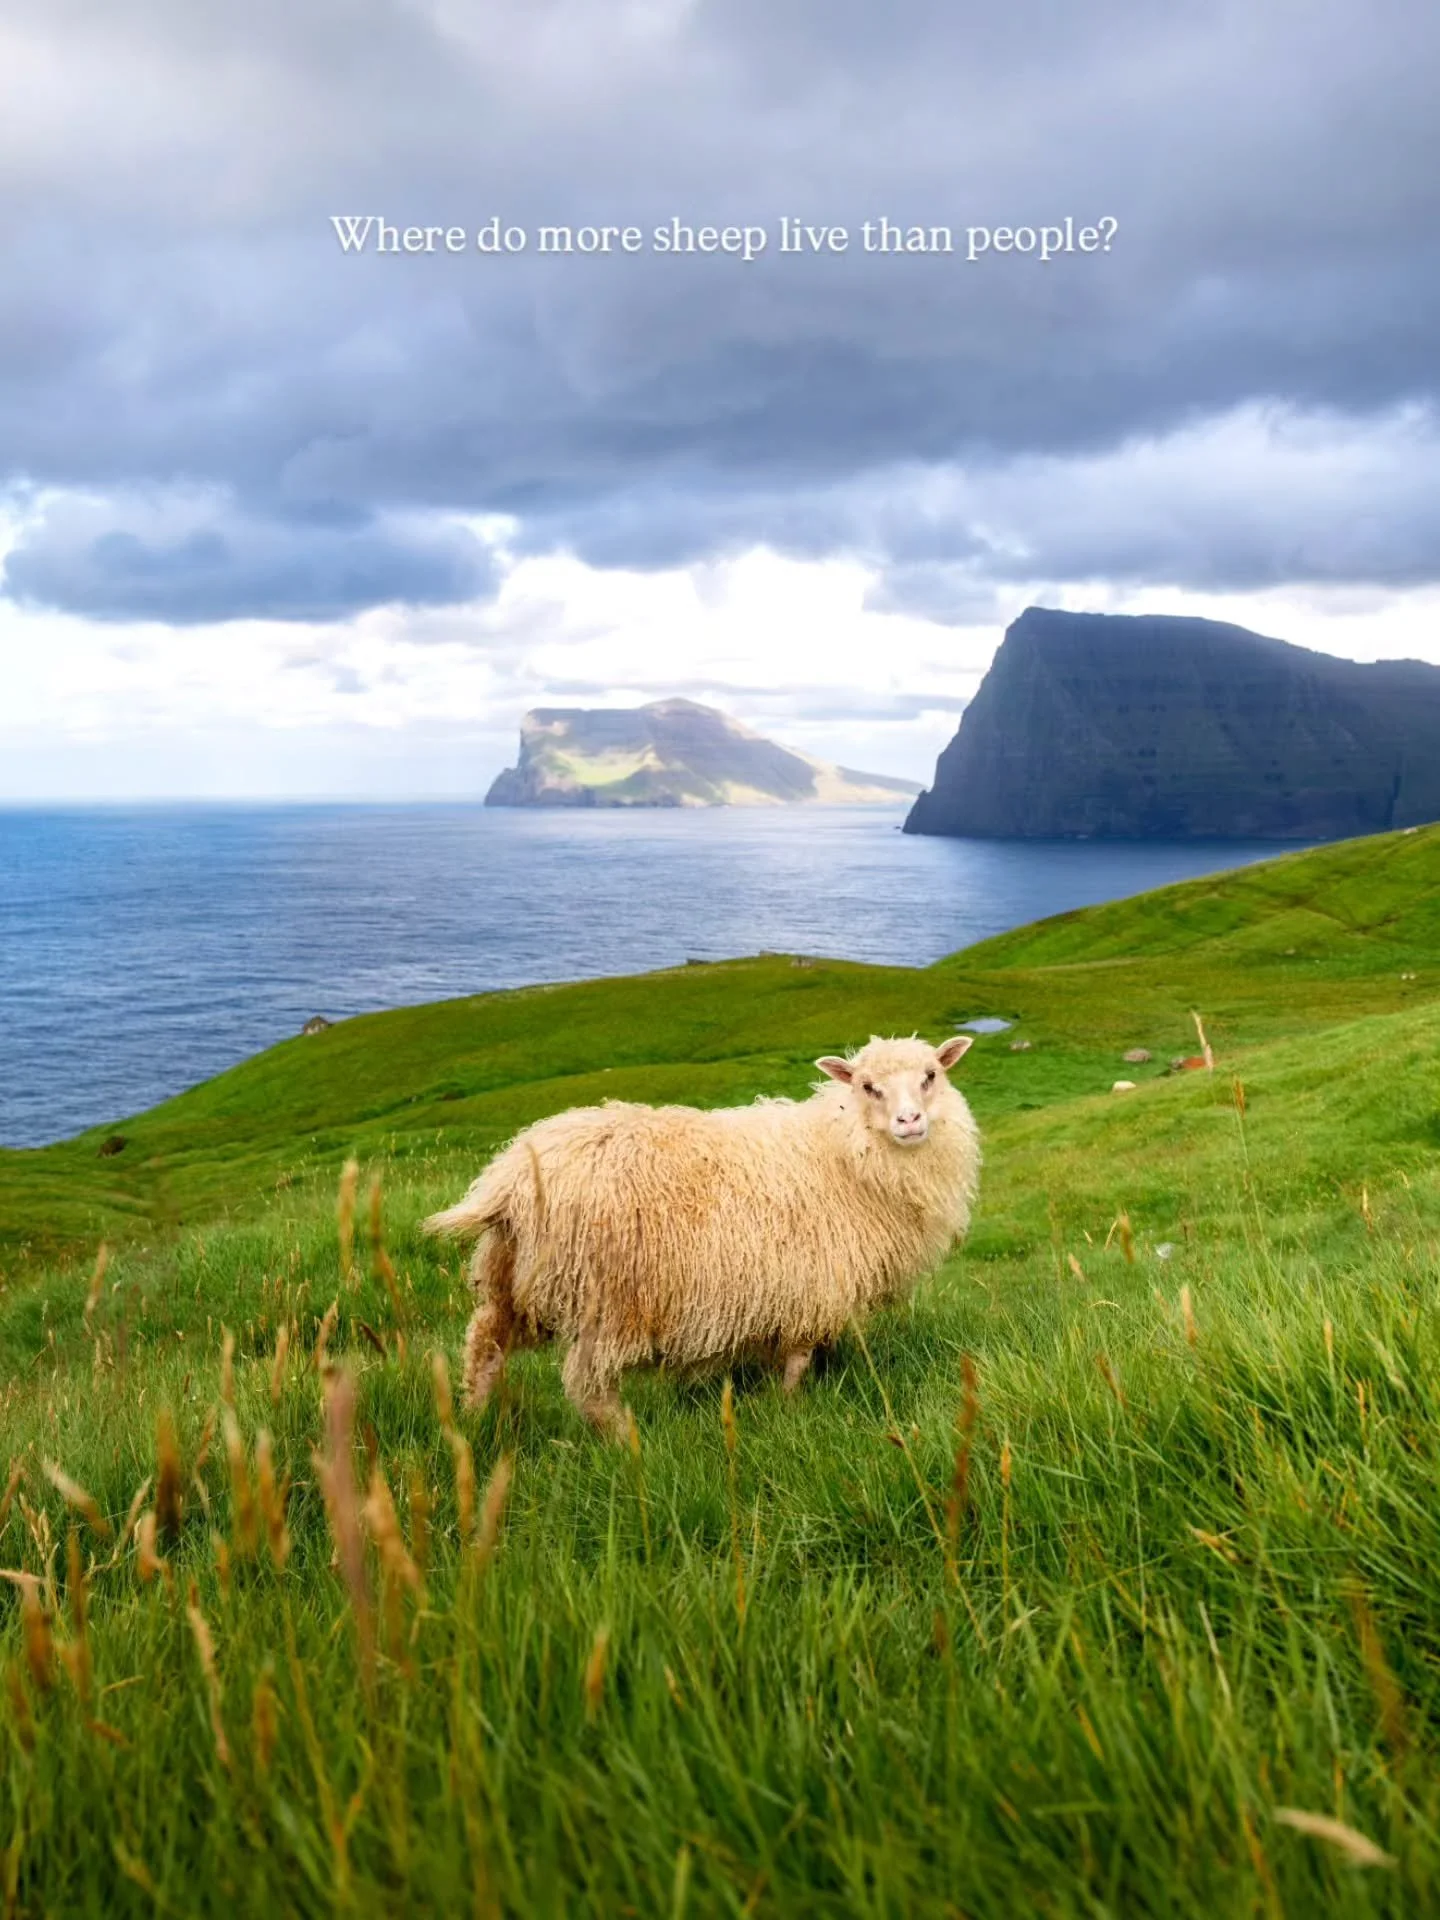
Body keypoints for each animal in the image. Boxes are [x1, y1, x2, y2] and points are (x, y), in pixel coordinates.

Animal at [423, 1033, 981, 1434]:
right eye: (867, 1086)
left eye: (931, 1075)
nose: (910, 1121)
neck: (843, 1151)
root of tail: (510, 1178)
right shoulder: (811, 1287)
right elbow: (798, 1360)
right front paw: (788, 1408)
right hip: (609, 1301)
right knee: (587, 1386)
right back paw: (627, 1440)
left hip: (512, 1280)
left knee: (484, 1345)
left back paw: (472, 1421)